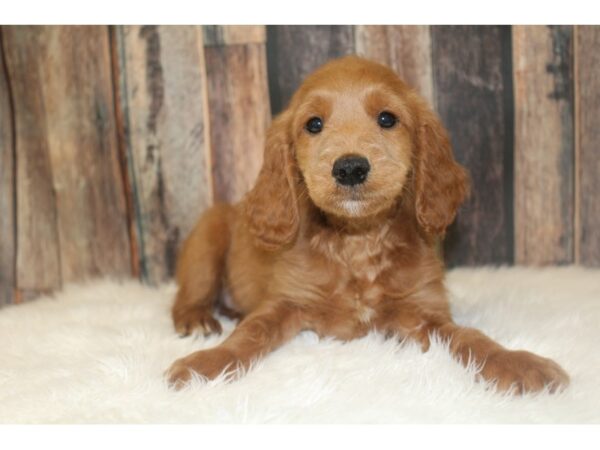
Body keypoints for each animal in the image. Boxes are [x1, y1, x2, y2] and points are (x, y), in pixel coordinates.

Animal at [166, 56, 568, 394]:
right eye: (314, 124)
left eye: (387, 119)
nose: (350, 168)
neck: (358, 241)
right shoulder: (284, 301)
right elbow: (250, 333)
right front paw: (206, 365)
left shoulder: (426, 312)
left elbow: (471, 337)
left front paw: (518, 363)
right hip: (207, 237)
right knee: (189, 294)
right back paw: (197, 319)